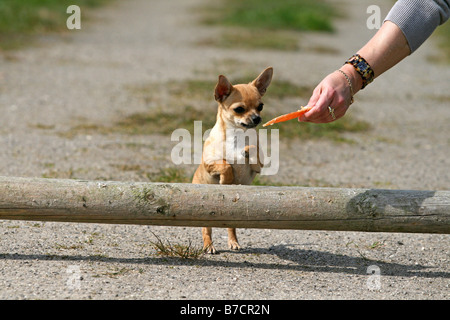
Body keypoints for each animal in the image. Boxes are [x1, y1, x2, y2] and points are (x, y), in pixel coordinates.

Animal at [192, 66, 272, 254]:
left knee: (231, 227)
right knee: (206, 230)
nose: (257, 118)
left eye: (260, 106)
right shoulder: (209, 164)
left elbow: (252, 148)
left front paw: (245, 152)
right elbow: (225, 164)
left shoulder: (258, 167)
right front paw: (226, 179)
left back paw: (233, 242)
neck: (237, 137)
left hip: (234, 212)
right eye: (239, 109)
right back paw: (209, 245)